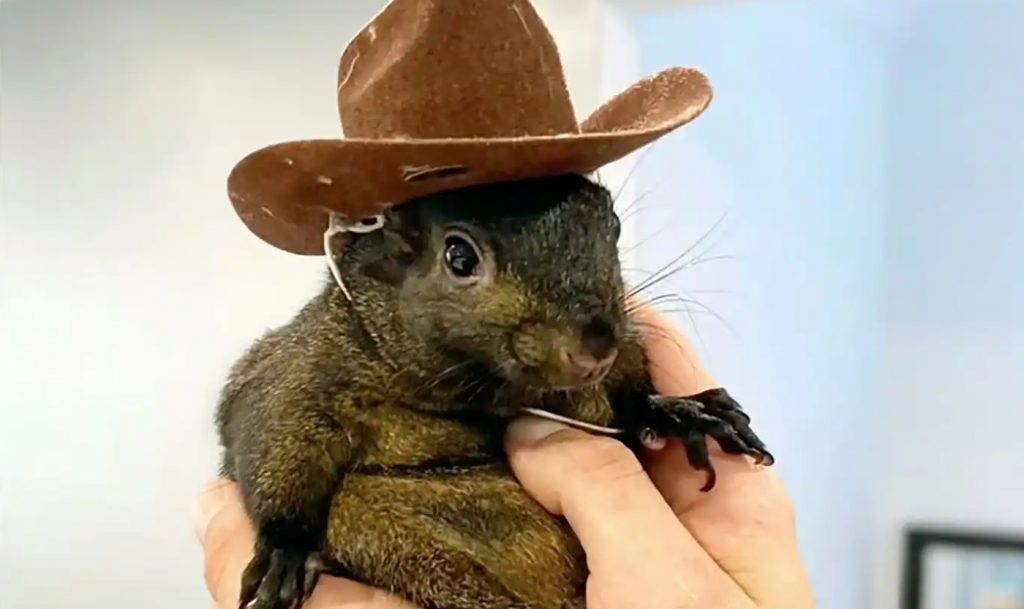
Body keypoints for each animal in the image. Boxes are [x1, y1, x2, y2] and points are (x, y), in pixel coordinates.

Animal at [215, 173, 774, 609]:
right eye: (459, 257)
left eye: (612, 226)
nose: (597, 346)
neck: (481, 389)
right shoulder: (306, 369)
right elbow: (273, 434)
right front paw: (284, 550)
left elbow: (628, 401)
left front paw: (680, 411)